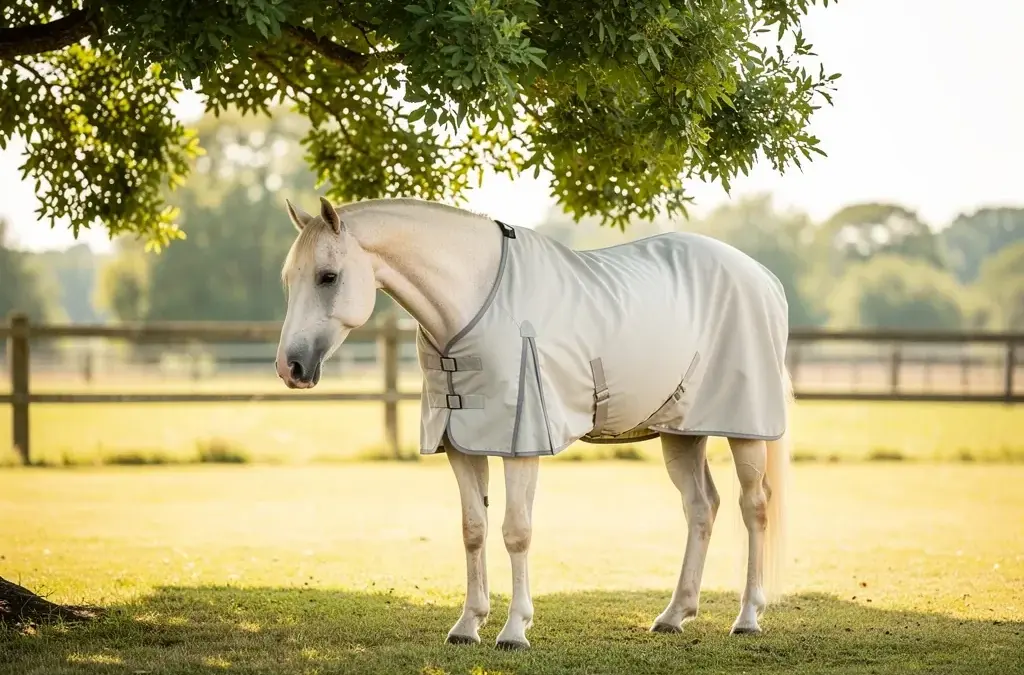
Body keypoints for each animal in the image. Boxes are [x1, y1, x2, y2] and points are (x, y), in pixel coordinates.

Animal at [275, 195, 792, 650]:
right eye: (288, 280)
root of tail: (764, 278)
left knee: (754, 507)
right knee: (702, 507)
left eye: (328, 276)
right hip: (682, 433)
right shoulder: (462, 444)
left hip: (744, 429)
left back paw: (747, 618)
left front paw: (514, 630)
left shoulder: (520, 442)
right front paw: (468, 625)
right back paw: (674, 615)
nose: (290, 367)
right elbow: (474, 529)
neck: (472, 302)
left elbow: (516, 532)